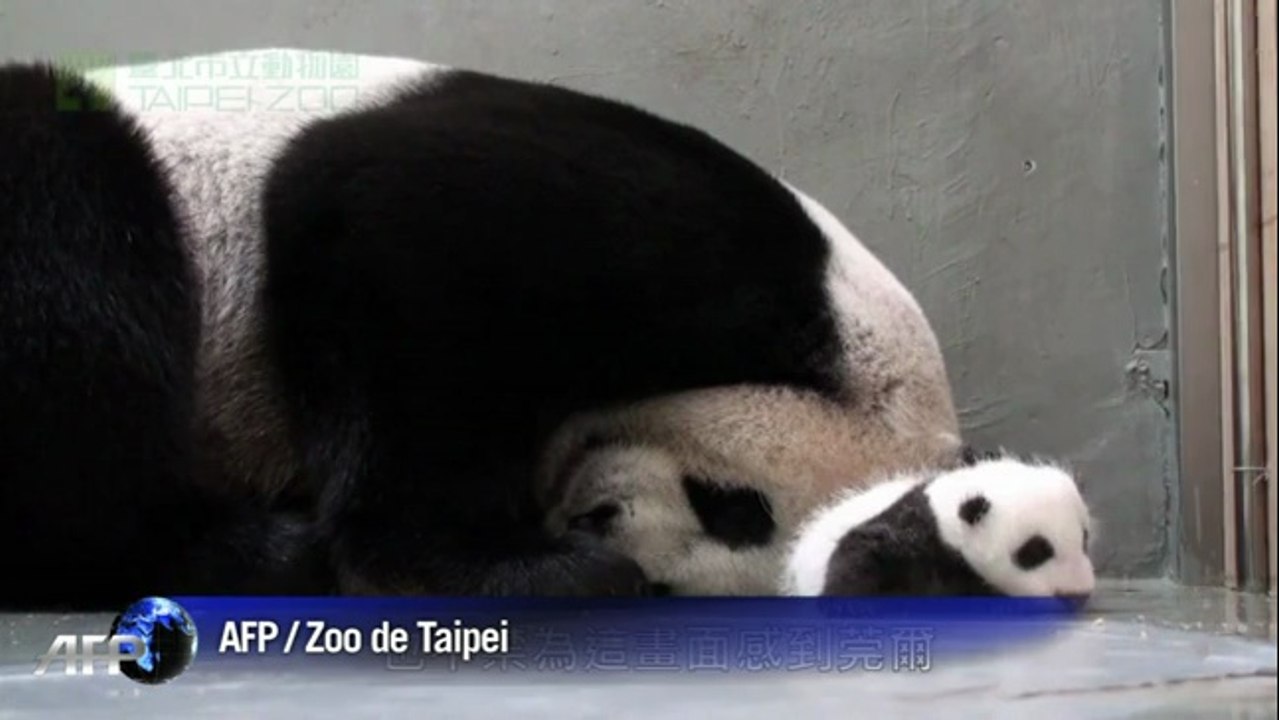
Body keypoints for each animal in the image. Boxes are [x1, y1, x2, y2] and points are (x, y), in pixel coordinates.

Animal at [1, 48, 962, 605]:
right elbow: (395, 247)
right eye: (733, 508)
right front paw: (509, 567)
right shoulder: (677, 243)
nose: (606, 530)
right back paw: (252, 551)